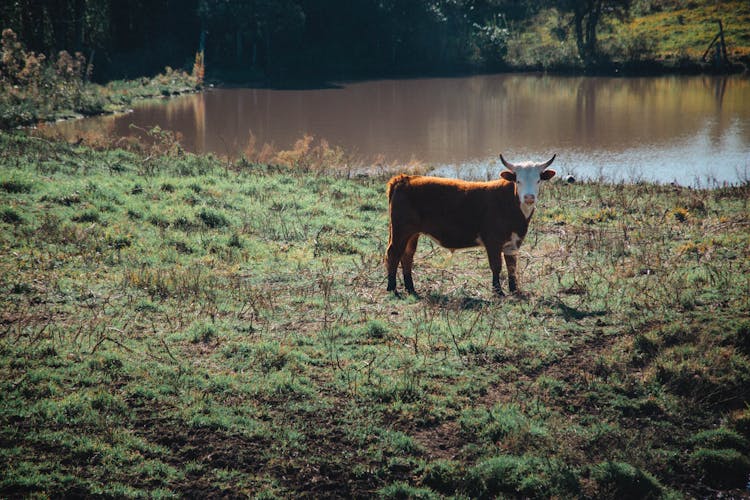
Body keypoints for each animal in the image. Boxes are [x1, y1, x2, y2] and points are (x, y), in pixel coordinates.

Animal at [388, 154, 560, 296]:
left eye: (538, 180)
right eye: (518, 180)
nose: (529, 197)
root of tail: (404, 178)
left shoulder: (513, 242)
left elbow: (512, 266)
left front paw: (514, 290)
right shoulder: (493, 241)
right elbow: (496, 266)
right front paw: (498, 292)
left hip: (412, 233)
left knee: (407, 256)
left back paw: (410, 288)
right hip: (401, 230)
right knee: (393, 253)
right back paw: (392, 288)